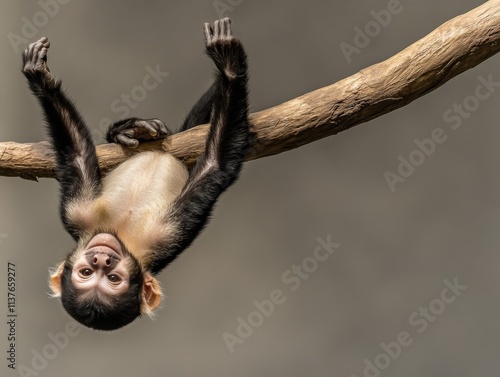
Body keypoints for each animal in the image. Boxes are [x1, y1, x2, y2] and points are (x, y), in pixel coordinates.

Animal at [23, 17, 250, 328]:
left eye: (111, 277)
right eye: (87, 274)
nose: (101, 258)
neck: (120, 232)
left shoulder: (146, 229)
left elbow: (217, 163)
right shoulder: (85, 216)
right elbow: (217, 163)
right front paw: (230, 65)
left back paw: (130, 130)